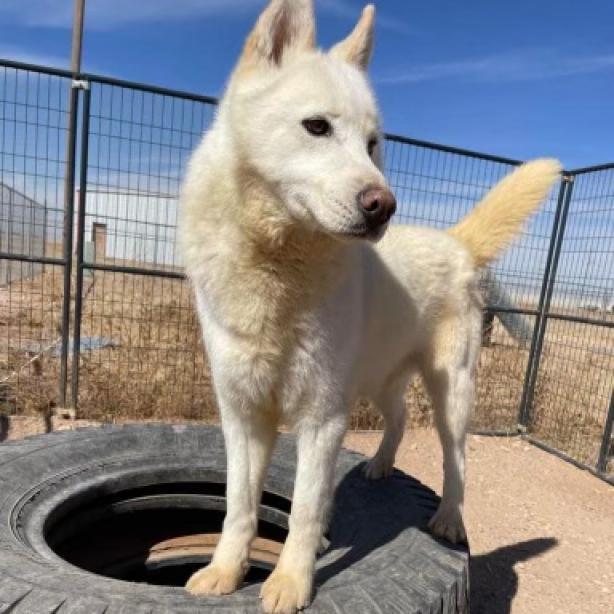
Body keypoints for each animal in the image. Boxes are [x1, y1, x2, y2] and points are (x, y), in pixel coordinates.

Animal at [179, 2, 564, 612]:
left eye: (373, 143)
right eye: (317, 126)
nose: (383, 205)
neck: (276, 263)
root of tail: (455, 242)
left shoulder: (322, 417)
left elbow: (304, 510)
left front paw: (290, 582)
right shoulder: (242, 413)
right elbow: (239, 506)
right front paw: (224, 571)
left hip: (450, 392)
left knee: (458, 460)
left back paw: (449, 518)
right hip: (378, 379)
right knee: (400, 417)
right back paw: (381, 465)